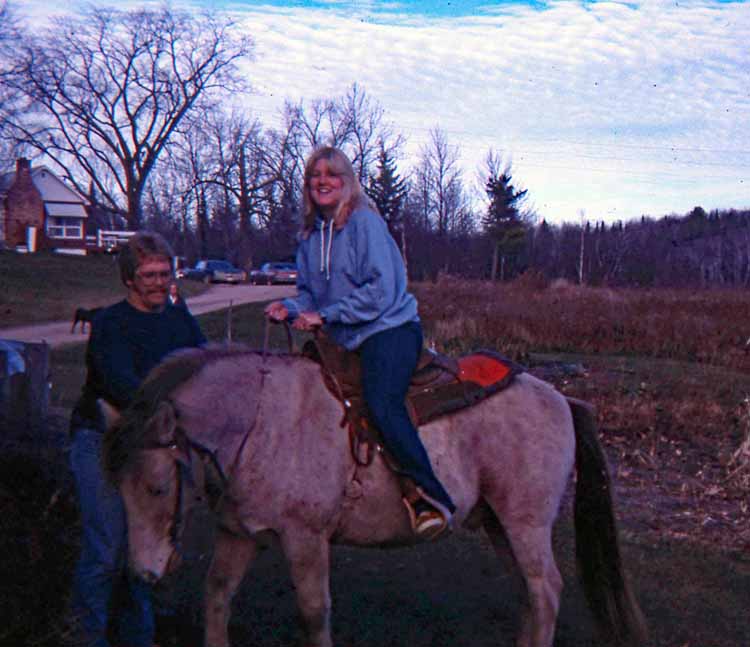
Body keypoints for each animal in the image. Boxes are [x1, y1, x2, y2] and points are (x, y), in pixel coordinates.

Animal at [103, 346, 648, 644]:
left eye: (156, 486)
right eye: (116, 489)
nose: (144, 574)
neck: (260, 421)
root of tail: (562, 397)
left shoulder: (306, 538)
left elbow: (314, 613)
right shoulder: (240, 534)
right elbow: (217, 598)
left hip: (525, 523)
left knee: (547, 590)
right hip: (499, 524)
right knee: (530, 593)